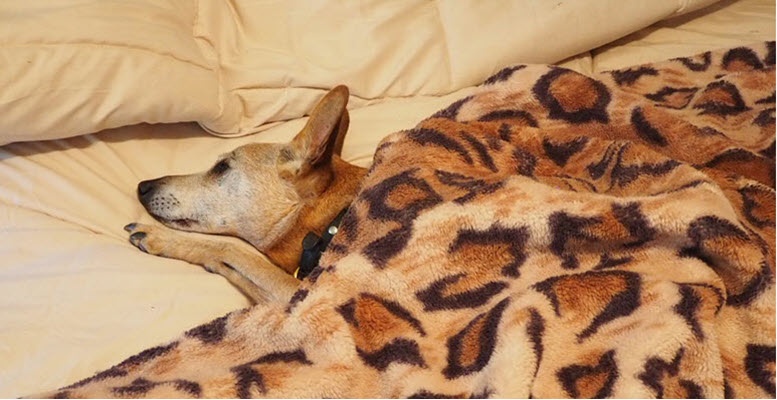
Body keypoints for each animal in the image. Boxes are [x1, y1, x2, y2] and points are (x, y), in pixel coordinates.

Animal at [124, 85, 366, 304]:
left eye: (221, 166)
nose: (143, 187)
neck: (330, 222)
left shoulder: (311, 297)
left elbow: (232, 249)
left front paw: (161, 238)